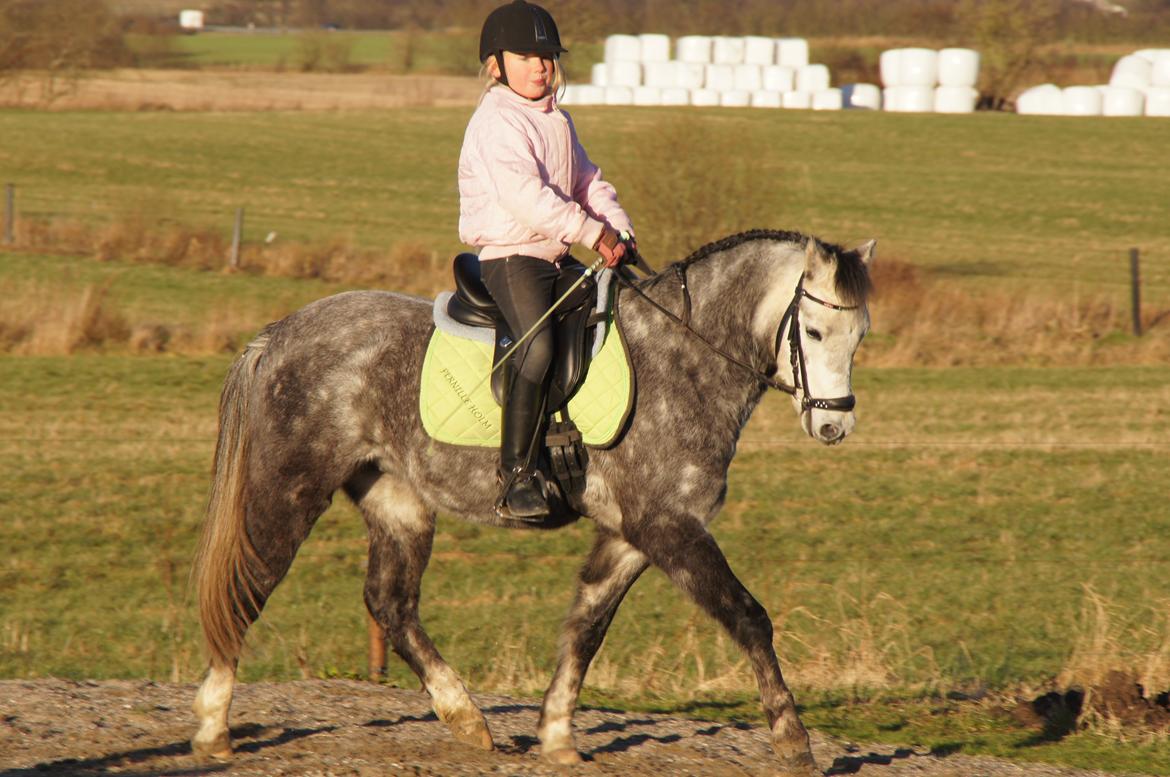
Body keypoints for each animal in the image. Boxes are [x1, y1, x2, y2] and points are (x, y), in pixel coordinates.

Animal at [190, 229, 874, 776]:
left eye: (860, 334)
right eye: (814, 331)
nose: (834, 426)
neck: (686, 358)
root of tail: (280, 333)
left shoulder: (633, 535)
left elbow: (586, 627)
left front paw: (557, 736)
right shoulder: (670, 527)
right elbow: (748, 616)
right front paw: (793, 741)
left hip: (396, 498)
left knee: (391, 603)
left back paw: (466, 717)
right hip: (291, 488)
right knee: (250, 586)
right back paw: (213, 728)